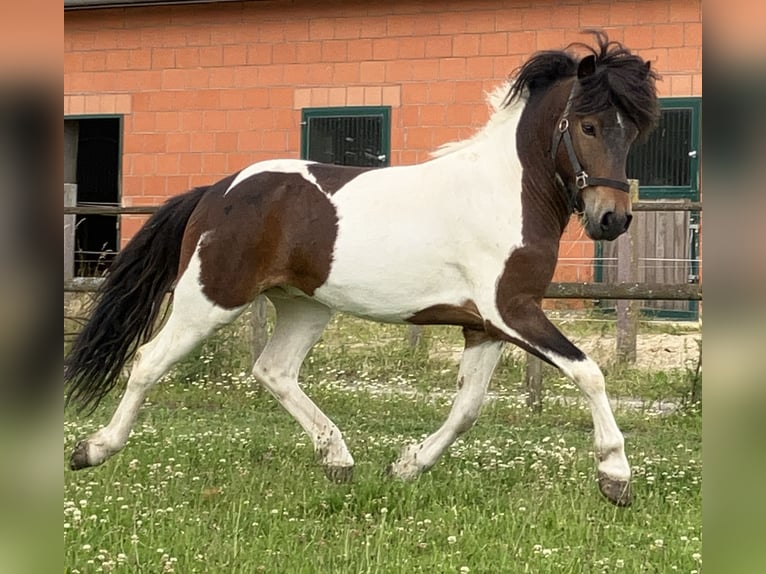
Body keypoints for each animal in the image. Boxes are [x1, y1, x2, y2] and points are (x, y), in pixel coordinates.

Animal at [66, 32, 660, 508]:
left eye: (633, 132)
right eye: (587, 125)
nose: (612, 219)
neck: (506, 192)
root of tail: (217, 191)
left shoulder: (486, 326)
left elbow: (467, 407)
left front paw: (407, 465)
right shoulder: (511, 311)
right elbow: (588, 372)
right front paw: (615, 477)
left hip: (304, 307)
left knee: (273, 370)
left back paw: (339, 460)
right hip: (210, 299)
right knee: (148, 361)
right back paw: (91, 450)